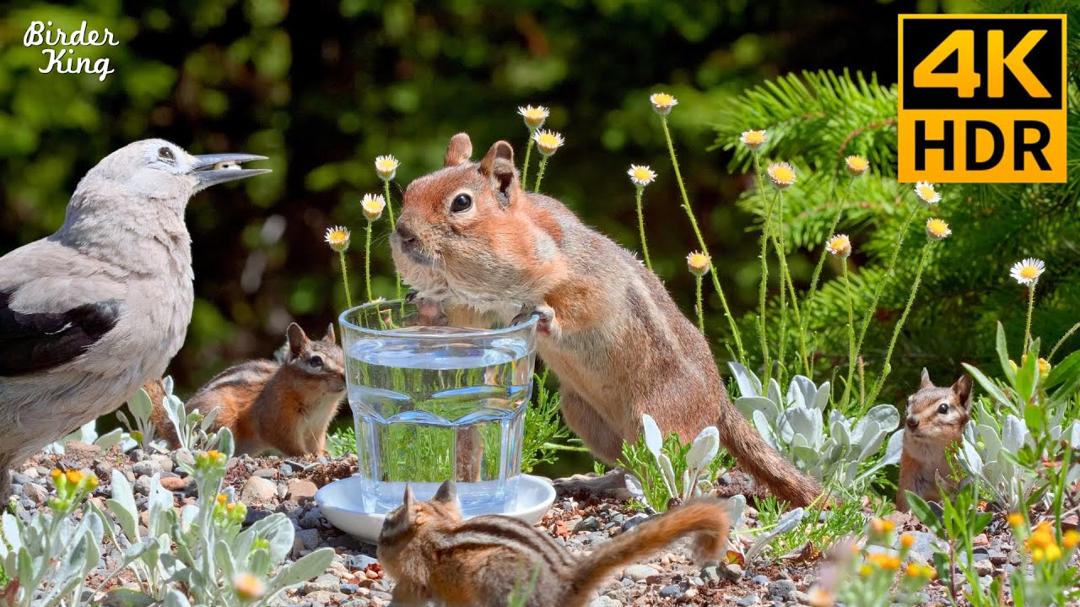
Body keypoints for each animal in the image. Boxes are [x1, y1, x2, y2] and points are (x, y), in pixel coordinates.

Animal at [146, 323, 346, 456]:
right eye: (316, 361)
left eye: (342, 354)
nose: (346, 375)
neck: (320, 401)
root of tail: (170, 424)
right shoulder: (276, 420)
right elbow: (287, 443)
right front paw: (304, 456)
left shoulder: (318, 428)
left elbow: (316, 445)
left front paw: (322, 455)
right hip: (220, 416)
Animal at [389, 132, 821, 507]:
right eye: (410, 190)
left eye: (461, 203)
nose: (403, 233)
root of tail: (718, 400)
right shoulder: (481, 312)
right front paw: (425, 305)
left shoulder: (589, 279)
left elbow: (580, 306)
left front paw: (546, 317)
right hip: (587, 417)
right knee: (632, 467)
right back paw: (593, 482)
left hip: (659, 421)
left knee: (681, 471)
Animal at [896, 368, 972, 512]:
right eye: (908, 402)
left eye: (943, 408)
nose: (911, 421)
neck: (932, 445)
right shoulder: (910, 471)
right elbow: (908, 496)